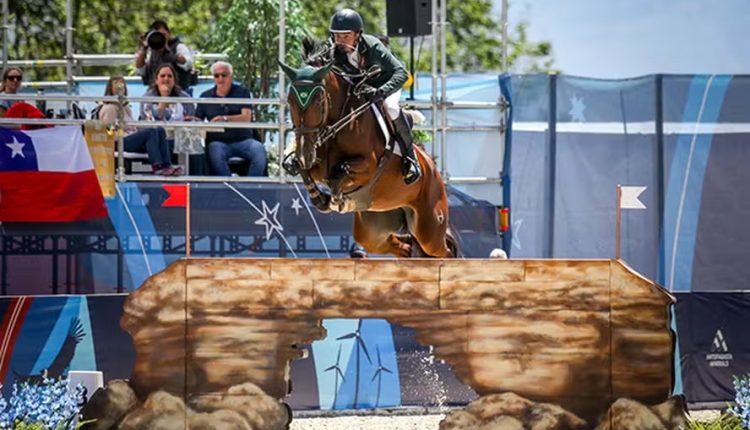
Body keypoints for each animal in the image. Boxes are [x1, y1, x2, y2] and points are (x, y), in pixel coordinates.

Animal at [280, 39, 458, 258]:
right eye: (290, 101)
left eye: (319, 101)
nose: (305, 153)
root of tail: (433, 168)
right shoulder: (316, 163)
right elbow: (305, 171)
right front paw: (321, 198)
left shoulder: (368, 166)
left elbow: (340, 170)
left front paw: (335, 199)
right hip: (373, 231)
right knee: (402, 247)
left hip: (429, 228)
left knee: (444, 250)